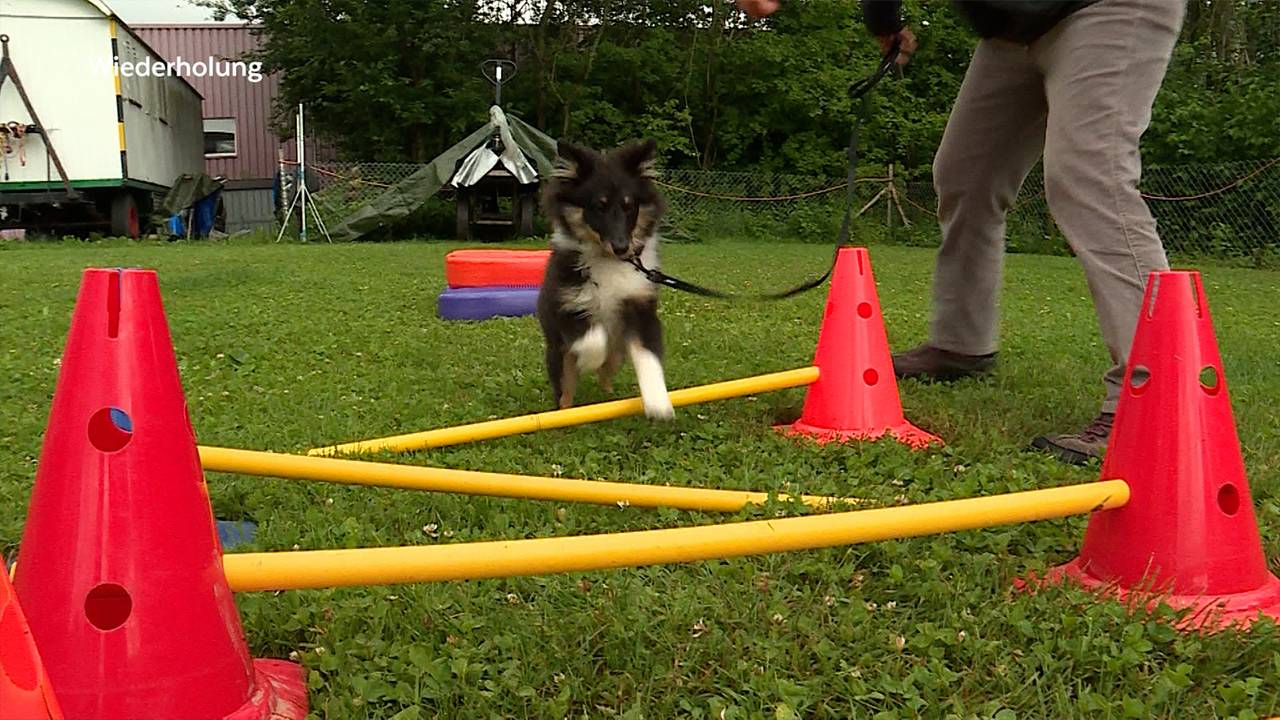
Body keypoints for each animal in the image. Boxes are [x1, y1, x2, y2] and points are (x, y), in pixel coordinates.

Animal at [535, 137, 675, 417]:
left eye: (629, 206)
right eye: (598, 207)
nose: (622, 248)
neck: (609, 261)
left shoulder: (641, 307)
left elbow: (650, 356)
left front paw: (658, 402)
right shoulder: (566, 307)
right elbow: (594, 339)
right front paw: (590, 359)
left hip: (618, 353)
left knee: (607, 370)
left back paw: (608, 391)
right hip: (557, 352)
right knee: (565, 385)